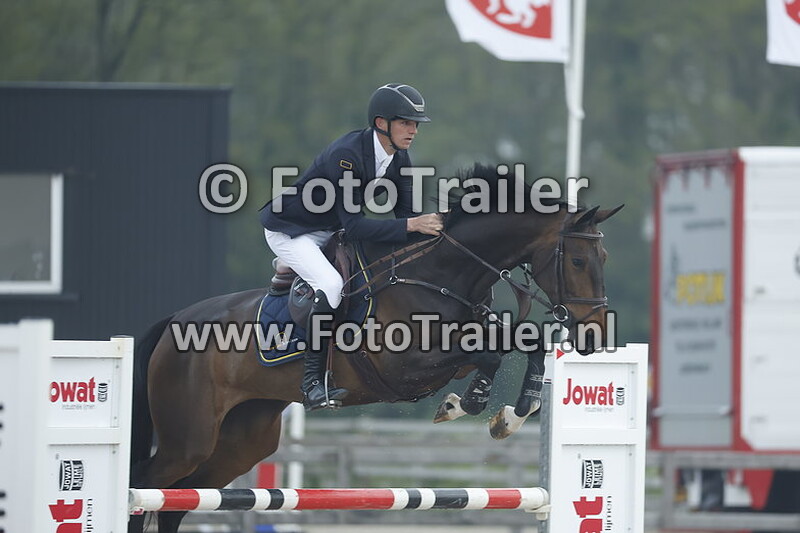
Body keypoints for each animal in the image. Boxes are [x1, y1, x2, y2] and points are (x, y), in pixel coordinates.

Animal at [128, 165, 622, 533]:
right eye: (579, 260)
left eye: (604, 259)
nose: (595, 336)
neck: (442, 272)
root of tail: (174, 321)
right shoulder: (405, 368)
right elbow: (488, 354)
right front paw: (466, 404)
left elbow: (522, 343)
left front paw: (511, 415)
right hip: (189, 436)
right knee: (146, 485)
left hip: (243, 438)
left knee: (180, 499)